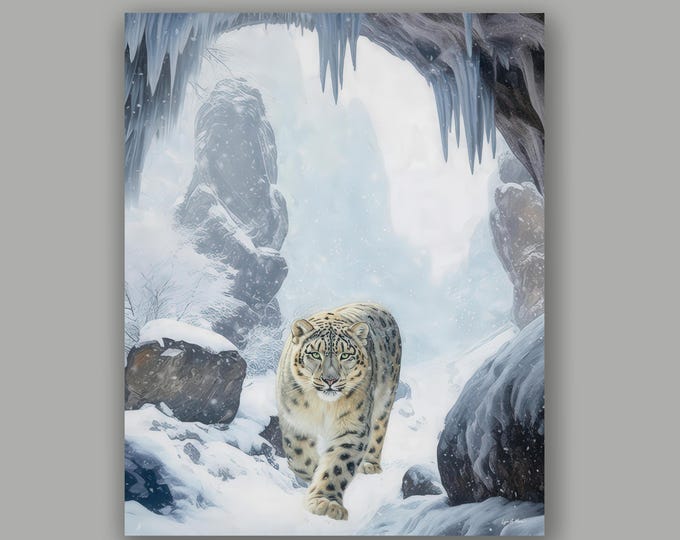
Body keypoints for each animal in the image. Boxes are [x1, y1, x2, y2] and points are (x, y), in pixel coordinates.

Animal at [275, 302, 402, 520]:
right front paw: (313, 478)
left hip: (386, 398)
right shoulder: (295, 422)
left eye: (346, 355)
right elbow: (300, 458)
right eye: (314, 354)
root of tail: (378, 305)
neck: (322, 406)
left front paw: (325, 503)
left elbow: (338, 464)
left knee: (379, 430)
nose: (330, 379)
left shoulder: (352, 427)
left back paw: (369, 465)